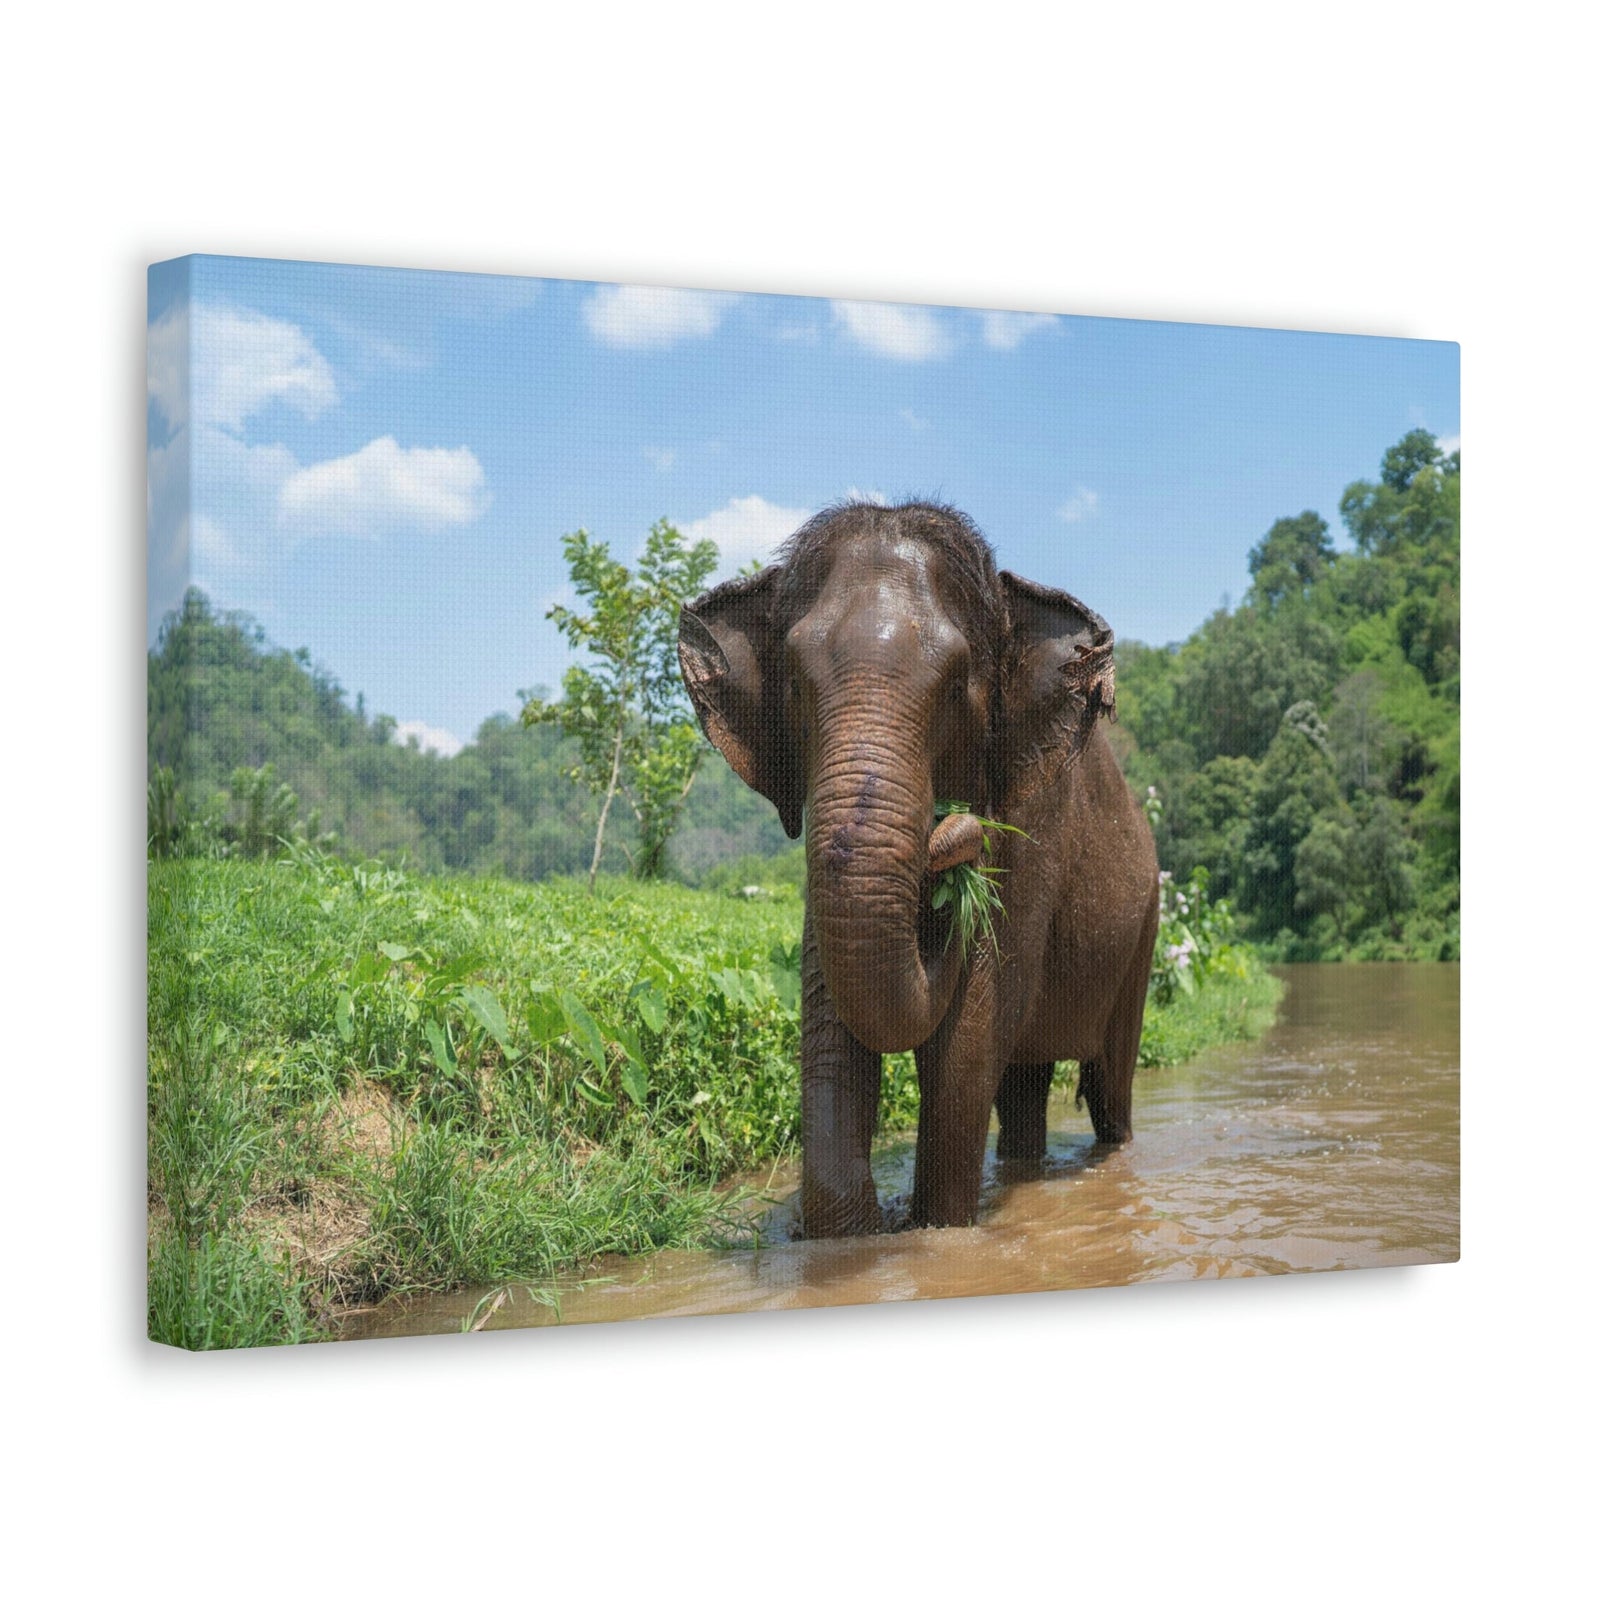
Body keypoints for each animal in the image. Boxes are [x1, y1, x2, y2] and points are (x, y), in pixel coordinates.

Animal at [678, 501, 1160, 1237]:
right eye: (795, 685)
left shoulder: (1032, 827)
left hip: (1145, 928)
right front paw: (853, 1235)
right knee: (1023, 1084)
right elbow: (836, 1029)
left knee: (1110, 1082)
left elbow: (966, 1042)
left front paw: (937, 1233)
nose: (953, 831)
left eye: (958, 686)